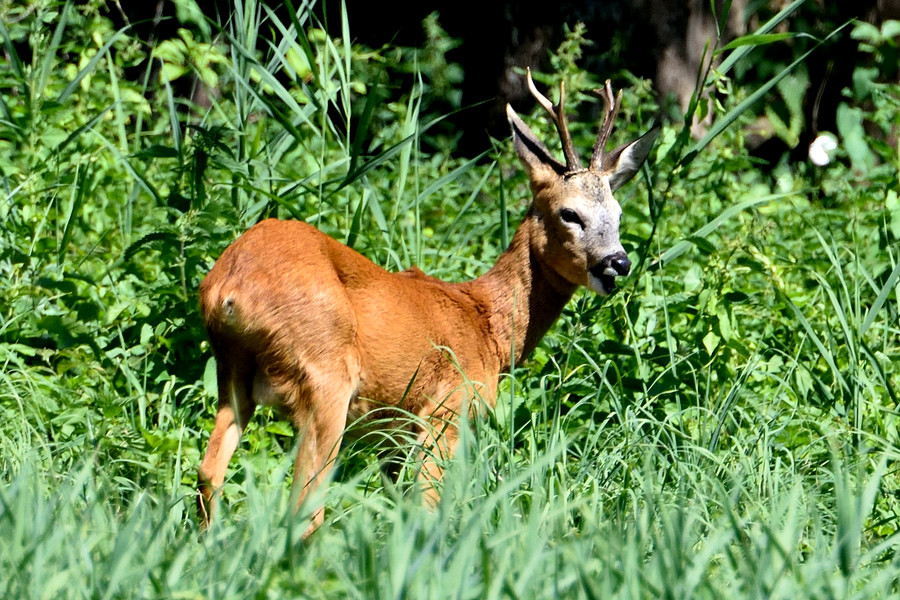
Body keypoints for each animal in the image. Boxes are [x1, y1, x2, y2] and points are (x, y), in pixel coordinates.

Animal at [197, 69, 656, 536]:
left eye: (618, 215)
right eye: (569, 213)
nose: (618, 263)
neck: (488, 327)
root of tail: (227, 288)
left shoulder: (394, 435)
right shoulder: (445, 411)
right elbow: (429, 506)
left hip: (233, 375)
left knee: (209, 471)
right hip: (326, 376)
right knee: (305, 502)